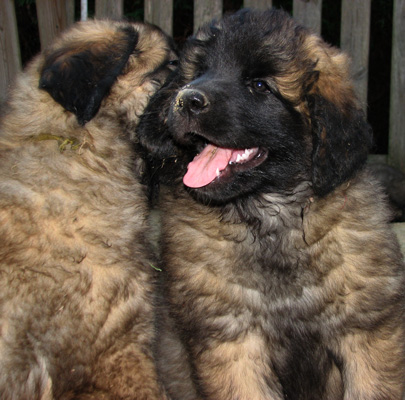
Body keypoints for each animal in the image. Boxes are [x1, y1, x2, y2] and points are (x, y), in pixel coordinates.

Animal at [137, 7, 404, 400]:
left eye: (260, 86)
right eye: (200, 71)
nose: (187, 99)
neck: (269, 216)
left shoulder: (368, 332)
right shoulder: (231, 342)